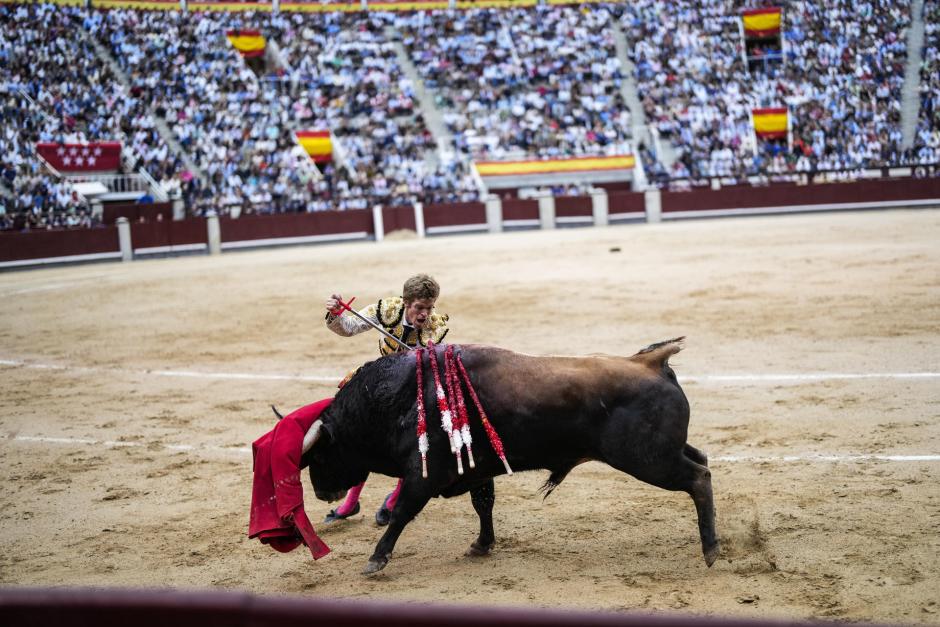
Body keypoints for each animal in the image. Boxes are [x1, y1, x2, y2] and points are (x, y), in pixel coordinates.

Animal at [302, 338, 720, 576]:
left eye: (320, 457)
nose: (322, 494)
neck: (396, 399)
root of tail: (649, 362)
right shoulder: (474, 468)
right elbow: (483, 504)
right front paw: (482, 545)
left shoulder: (424, 475)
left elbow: (403, 512)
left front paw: (376, 559)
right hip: (663, 452)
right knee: (702, 460)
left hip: (648, 459)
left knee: (698, 479)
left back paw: (711, 550)